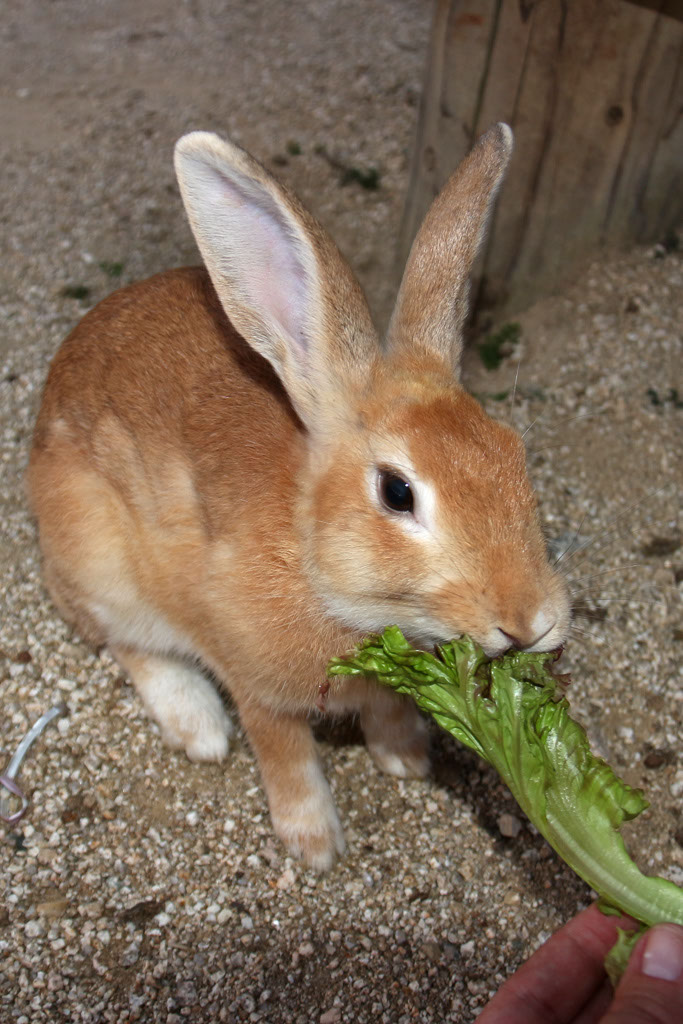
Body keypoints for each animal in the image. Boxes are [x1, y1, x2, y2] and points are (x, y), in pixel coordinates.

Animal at [27, 123, 571, 870]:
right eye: (397, 492)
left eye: (514, 451)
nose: (531, 621)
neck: (312, 560)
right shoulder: (255, 682)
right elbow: (283, 753)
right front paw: (313, 844)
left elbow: (387, 712)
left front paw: (406, 760)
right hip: (100, 562)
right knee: (128, 645)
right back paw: (199, 727)